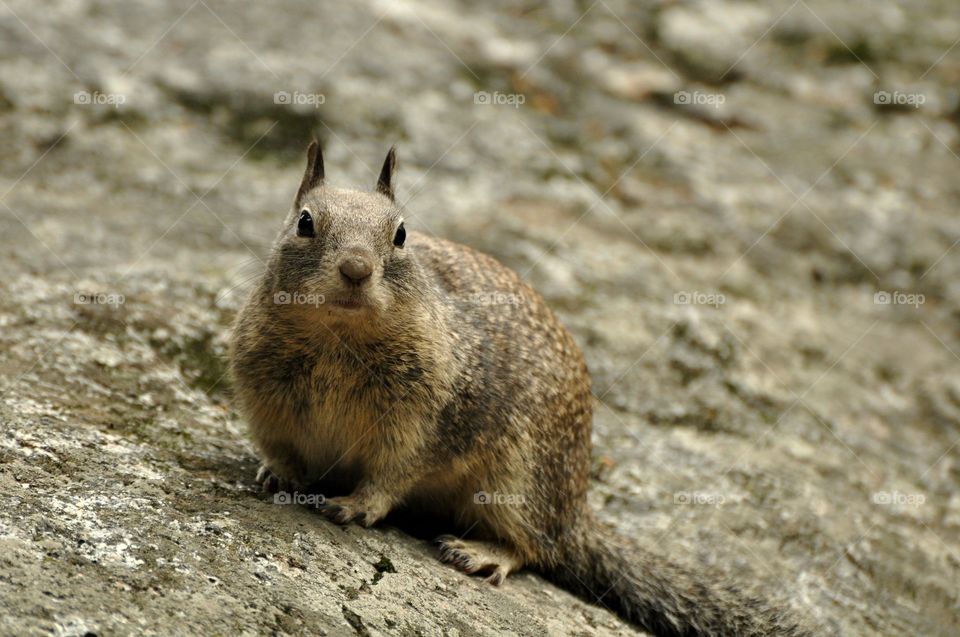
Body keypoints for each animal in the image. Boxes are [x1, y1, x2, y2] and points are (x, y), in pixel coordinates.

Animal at [229, 140, 812, 636]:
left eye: (401, 234)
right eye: (305, 223)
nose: (355, 268)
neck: (339, 341)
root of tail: (576, 512)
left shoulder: (426, 419)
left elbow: (394, 473)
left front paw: (357, 505)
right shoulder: (265, 402)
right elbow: (280, 448)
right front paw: (278, 473)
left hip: (519, 479)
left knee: (539, 549)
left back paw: (484, 552)